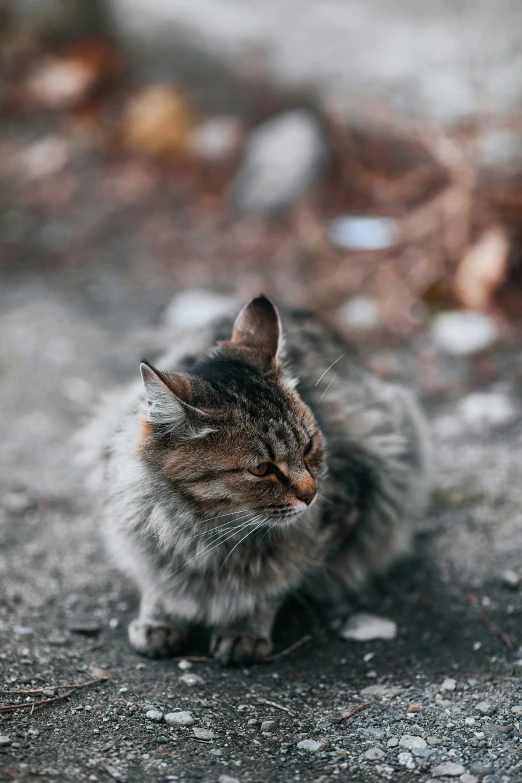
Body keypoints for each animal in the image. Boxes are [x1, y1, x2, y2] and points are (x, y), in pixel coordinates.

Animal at [83, 298, 428, 664]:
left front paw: (244, 629)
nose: (311, 495)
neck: (205, 532)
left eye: (308, 446)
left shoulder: (349, 506)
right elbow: (157, 579)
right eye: (261, 469)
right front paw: (159, 619)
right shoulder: (139, 529)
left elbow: (274, 583)